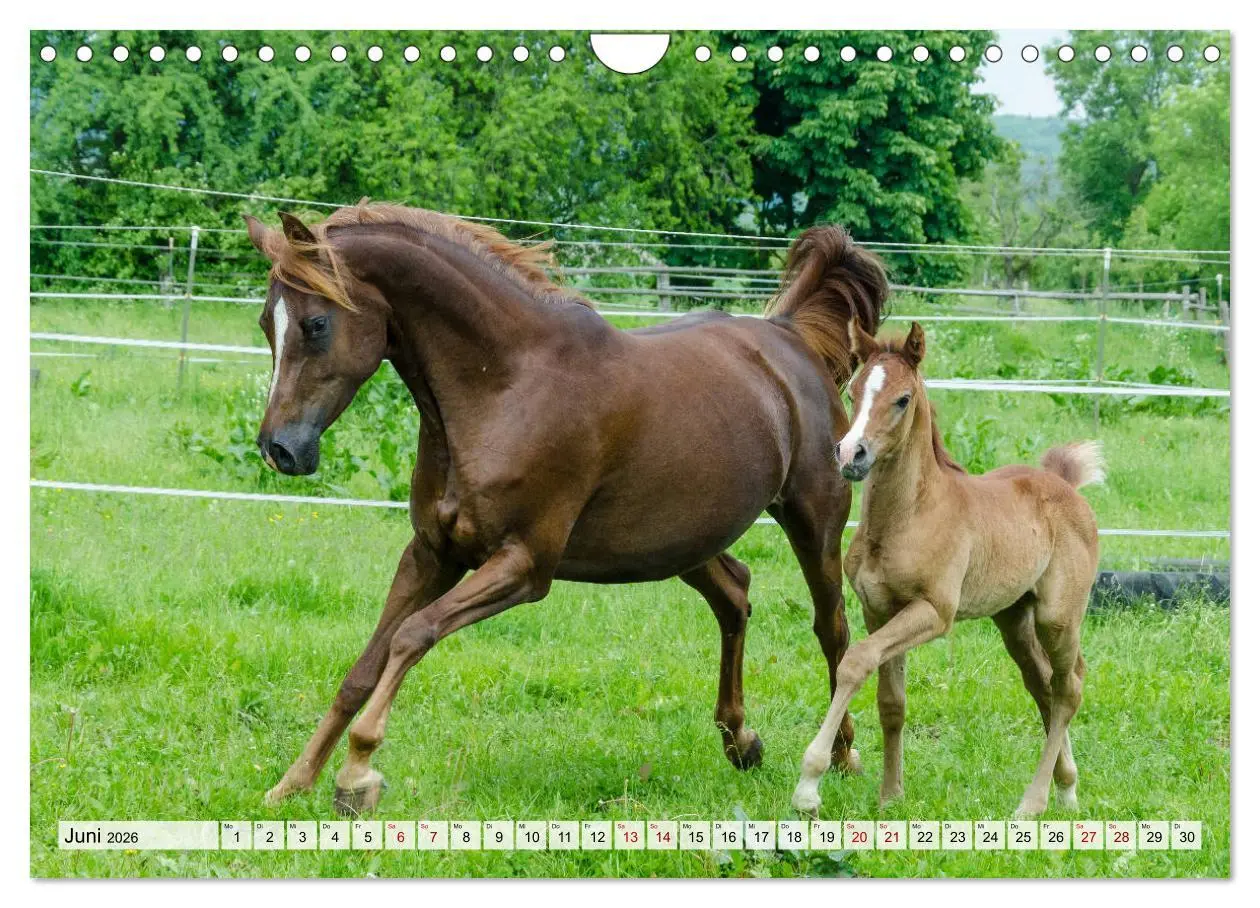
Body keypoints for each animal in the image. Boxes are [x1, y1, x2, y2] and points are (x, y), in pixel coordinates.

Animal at [242, 203, 887, 814]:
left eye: (316, 323)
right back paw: (741, 741)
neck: (505, 386)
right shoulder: (431, 554)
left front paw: (357, 774)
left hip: (813, 521)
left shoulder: (524, 567)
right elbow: (363, 668)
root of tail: (789, 337)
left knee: (832, 628)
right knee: (734, 595)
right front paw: (291, 784)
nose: (281, 449)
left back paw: (841, 757)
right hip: (680, 541)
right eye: (266, 323)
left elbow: (411, 636)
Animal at [789, 320, 1102, 819]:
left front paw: (809, 785)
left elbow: (855, 662)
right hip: (1014, 617)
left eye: (902, 399)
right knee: (1044, 685)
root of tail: (1065, 486)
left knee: (1068, 687)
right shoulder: (879, 610)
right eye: (853, 391)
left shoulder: (935, 612)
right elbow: (891, 701)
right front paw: (890, 796)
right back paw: (1067, 788)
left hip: (1058, 617)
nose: (850, 454)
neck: (909, 516)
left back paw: (1033, 802)